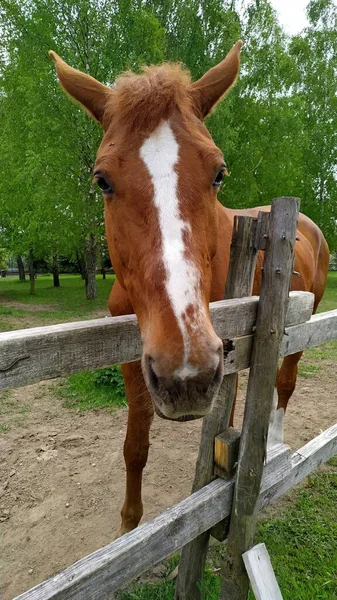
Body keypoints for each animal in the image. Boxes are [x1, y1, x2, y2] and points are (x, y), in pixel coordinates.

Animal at [50, 43, 328, 540]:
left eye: (219, 173)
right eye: (102, 180)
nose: (186, 373)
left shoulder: (228, 351)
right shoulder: (134, 363)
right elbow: (135, 447)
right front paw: (129, 528)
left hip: (302, 321)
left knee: (285, 381)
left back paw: (276, 445)